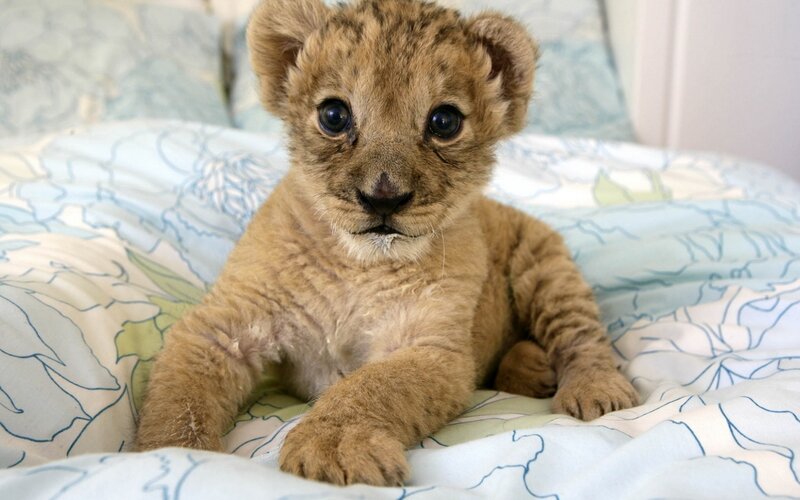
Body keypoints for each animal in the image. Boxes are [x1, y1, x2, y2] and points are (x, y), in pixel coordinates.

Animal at [135, 0, 638, 486]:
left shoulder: (430, 347)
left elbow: (373, 386)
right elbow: (180, 401)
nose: (383, 197)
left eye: (444, 121)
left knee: (581, 335)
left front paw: (333, 446)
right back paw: (532, 368)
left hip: (547, 268)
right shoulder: (223, 328)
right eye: (334, 116)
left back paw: (593, 391)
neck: (356, 265)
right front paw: (175, 456)